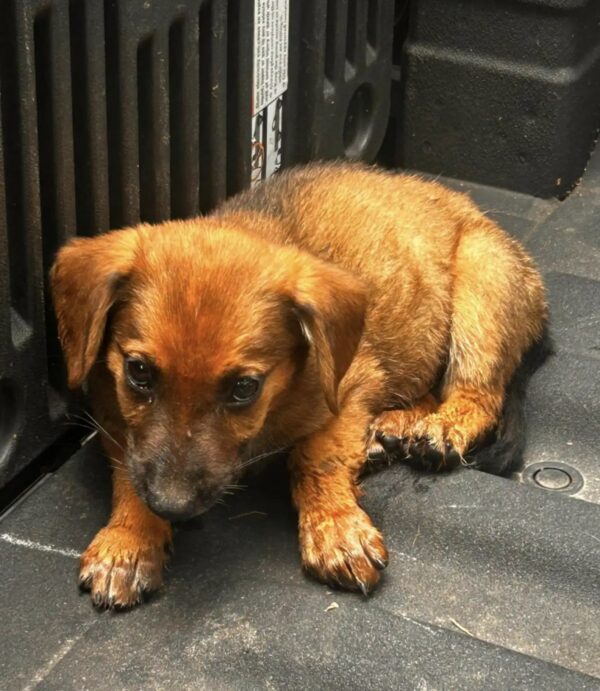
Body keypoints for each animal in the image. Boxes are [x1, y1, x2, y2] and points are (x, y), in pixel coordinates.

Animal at [51, 165, 548, 608]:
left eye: (244, 388)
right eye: (138, 372)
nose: (171, 506)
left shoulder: (351, 387)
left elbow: (315, 457)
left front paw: (335, 528)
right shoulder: (111, 411)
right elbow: (130, 471)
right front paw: (129, 541)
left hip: (484, 288)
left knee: (478, 395)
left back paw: (440, 429)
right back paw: (390, 431)